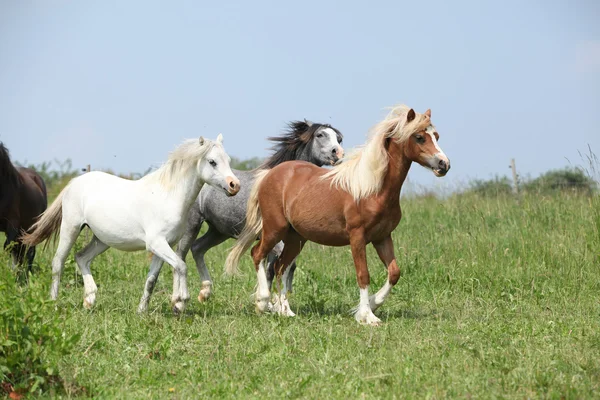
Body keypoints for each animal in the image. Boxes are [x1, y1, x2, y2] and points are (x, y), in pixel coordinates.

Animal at [22, 134, 239, 312]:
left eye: (228, 160)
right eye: (212, 162)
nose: (234, 185)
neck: (167, 196)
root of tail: (74, 182)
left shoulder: (163, 246)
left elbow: (152, 279)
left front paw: (142, 310)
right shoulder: (156, 243)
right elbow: (182, 266)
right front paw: (181, 300)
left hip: (101, 239)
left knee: (81, 258)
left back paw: (89, 300)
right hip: (71, 228)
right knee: (58, 262)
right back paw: (53, 302)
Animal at [169, 120, 344, 304]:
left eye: (339, 138)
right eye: (320, 135)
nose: (338, 153)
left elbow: (280, 268)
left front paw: (269, 301)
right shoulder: (274, 239)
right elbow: (276, 268)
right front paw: (267, 301)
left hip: (218, 231)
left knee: (197, 248)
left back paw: (205, 292)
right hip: (193, 225)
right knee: (180, 255)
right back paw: (178, 299)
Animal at [225, 106, 450, 324]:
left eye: (437, 136)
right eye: (419, 137)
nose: (444, 164)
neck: (372, 189)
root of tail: (269, 174)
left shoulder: (382, 237)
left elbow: (394, 272)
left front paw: (372, 305)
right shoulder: (357, 237)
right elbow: (363, 275)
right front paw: (367, 316)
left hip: (296, 237)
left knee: (280, 266)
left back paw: (286, 312)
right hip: (275, 228)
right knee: (258, 255)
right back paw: (263, 303)